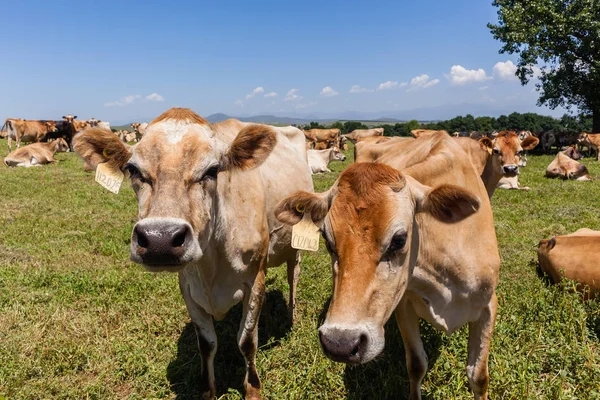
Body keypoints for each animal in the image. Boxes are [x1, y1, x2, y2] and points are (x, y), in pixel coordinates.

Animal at [72, 108, 312, 398]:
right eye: (133, 169)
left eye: (212, 170)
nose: (160, 240)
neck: (212, 262)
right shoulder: (188, 285)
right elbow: (207, 343)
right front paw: (208, 390)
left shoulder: (255, 278)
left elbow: (247, 341)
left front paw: (253, 388)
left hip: (296, 244)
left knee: (293, 277)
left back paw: (291, 316)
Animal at [274, 132, 500, 400]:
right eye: (327, 241)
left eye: (399, 240)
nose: (340, 343)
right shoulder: (403, 305)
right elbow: (416, 365)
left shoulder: (488, 305)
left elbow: (479, 377)